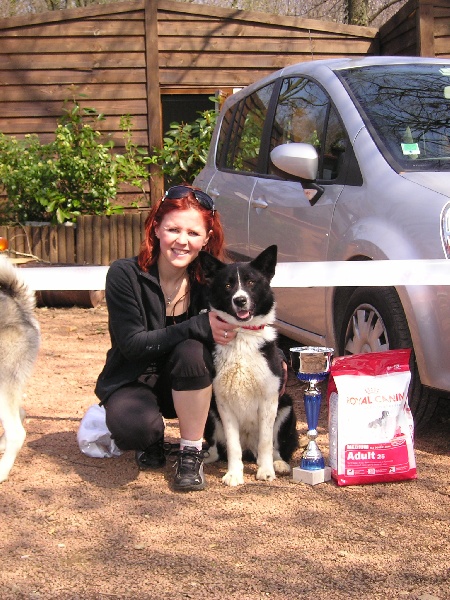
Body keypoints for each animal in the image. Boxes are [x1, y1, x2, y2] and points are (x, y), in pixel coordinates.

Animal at [199, 245, 299, 486]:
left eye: (251, 282)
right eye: (228, 285)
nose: (240, 300)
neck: (241, 335)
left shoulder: (269, 400)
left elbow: (265, 441)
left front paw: (266, 471)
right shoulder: (223, 403)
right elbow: (232, 446)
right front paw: (234, 474)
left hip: (287, 407)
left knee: (274, 447)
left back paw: (278, 464)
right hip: (210, 413)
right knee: (219, 447)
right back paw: (207, 456)